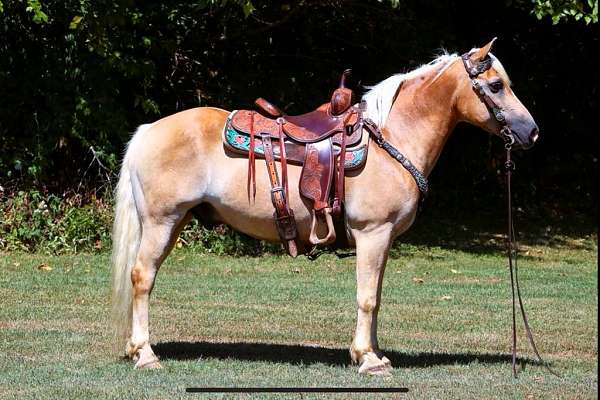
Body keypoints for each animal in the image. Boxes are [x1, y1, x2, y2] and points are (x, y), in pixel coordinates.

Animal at [111, 39, 540, 374]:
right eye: (496, 85)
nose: (531, 132)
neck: (392, 138)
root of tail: (149, 130)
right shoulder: (372, 233)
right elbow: (367, 297)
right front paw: (368, 360)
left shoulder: (382, 240)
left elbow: (376, 296)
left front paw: (374, 354)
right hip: (162, 221)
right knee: (142, 277)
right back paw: (146, 355)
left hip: (174, 222)